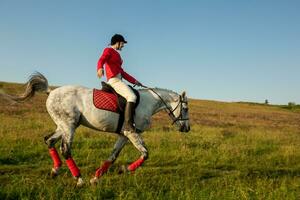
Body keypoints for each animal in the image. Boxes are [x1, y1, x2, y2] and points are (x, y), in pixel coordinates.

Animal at [5, 72, 190, 187]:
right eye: (186, 108)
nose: (187, 128)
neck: (147, 103)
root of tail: (51, 92)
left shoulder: (124, 135)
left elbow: (113, 156)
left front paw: (96, 177)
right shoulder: (131, 133)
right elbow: (145, 154)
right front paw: (125, 169)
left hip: (64, 125)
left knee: (49, 141)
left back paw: (55, 171)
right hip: (69, 126)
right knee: (65, 149)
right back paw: (79, 179)